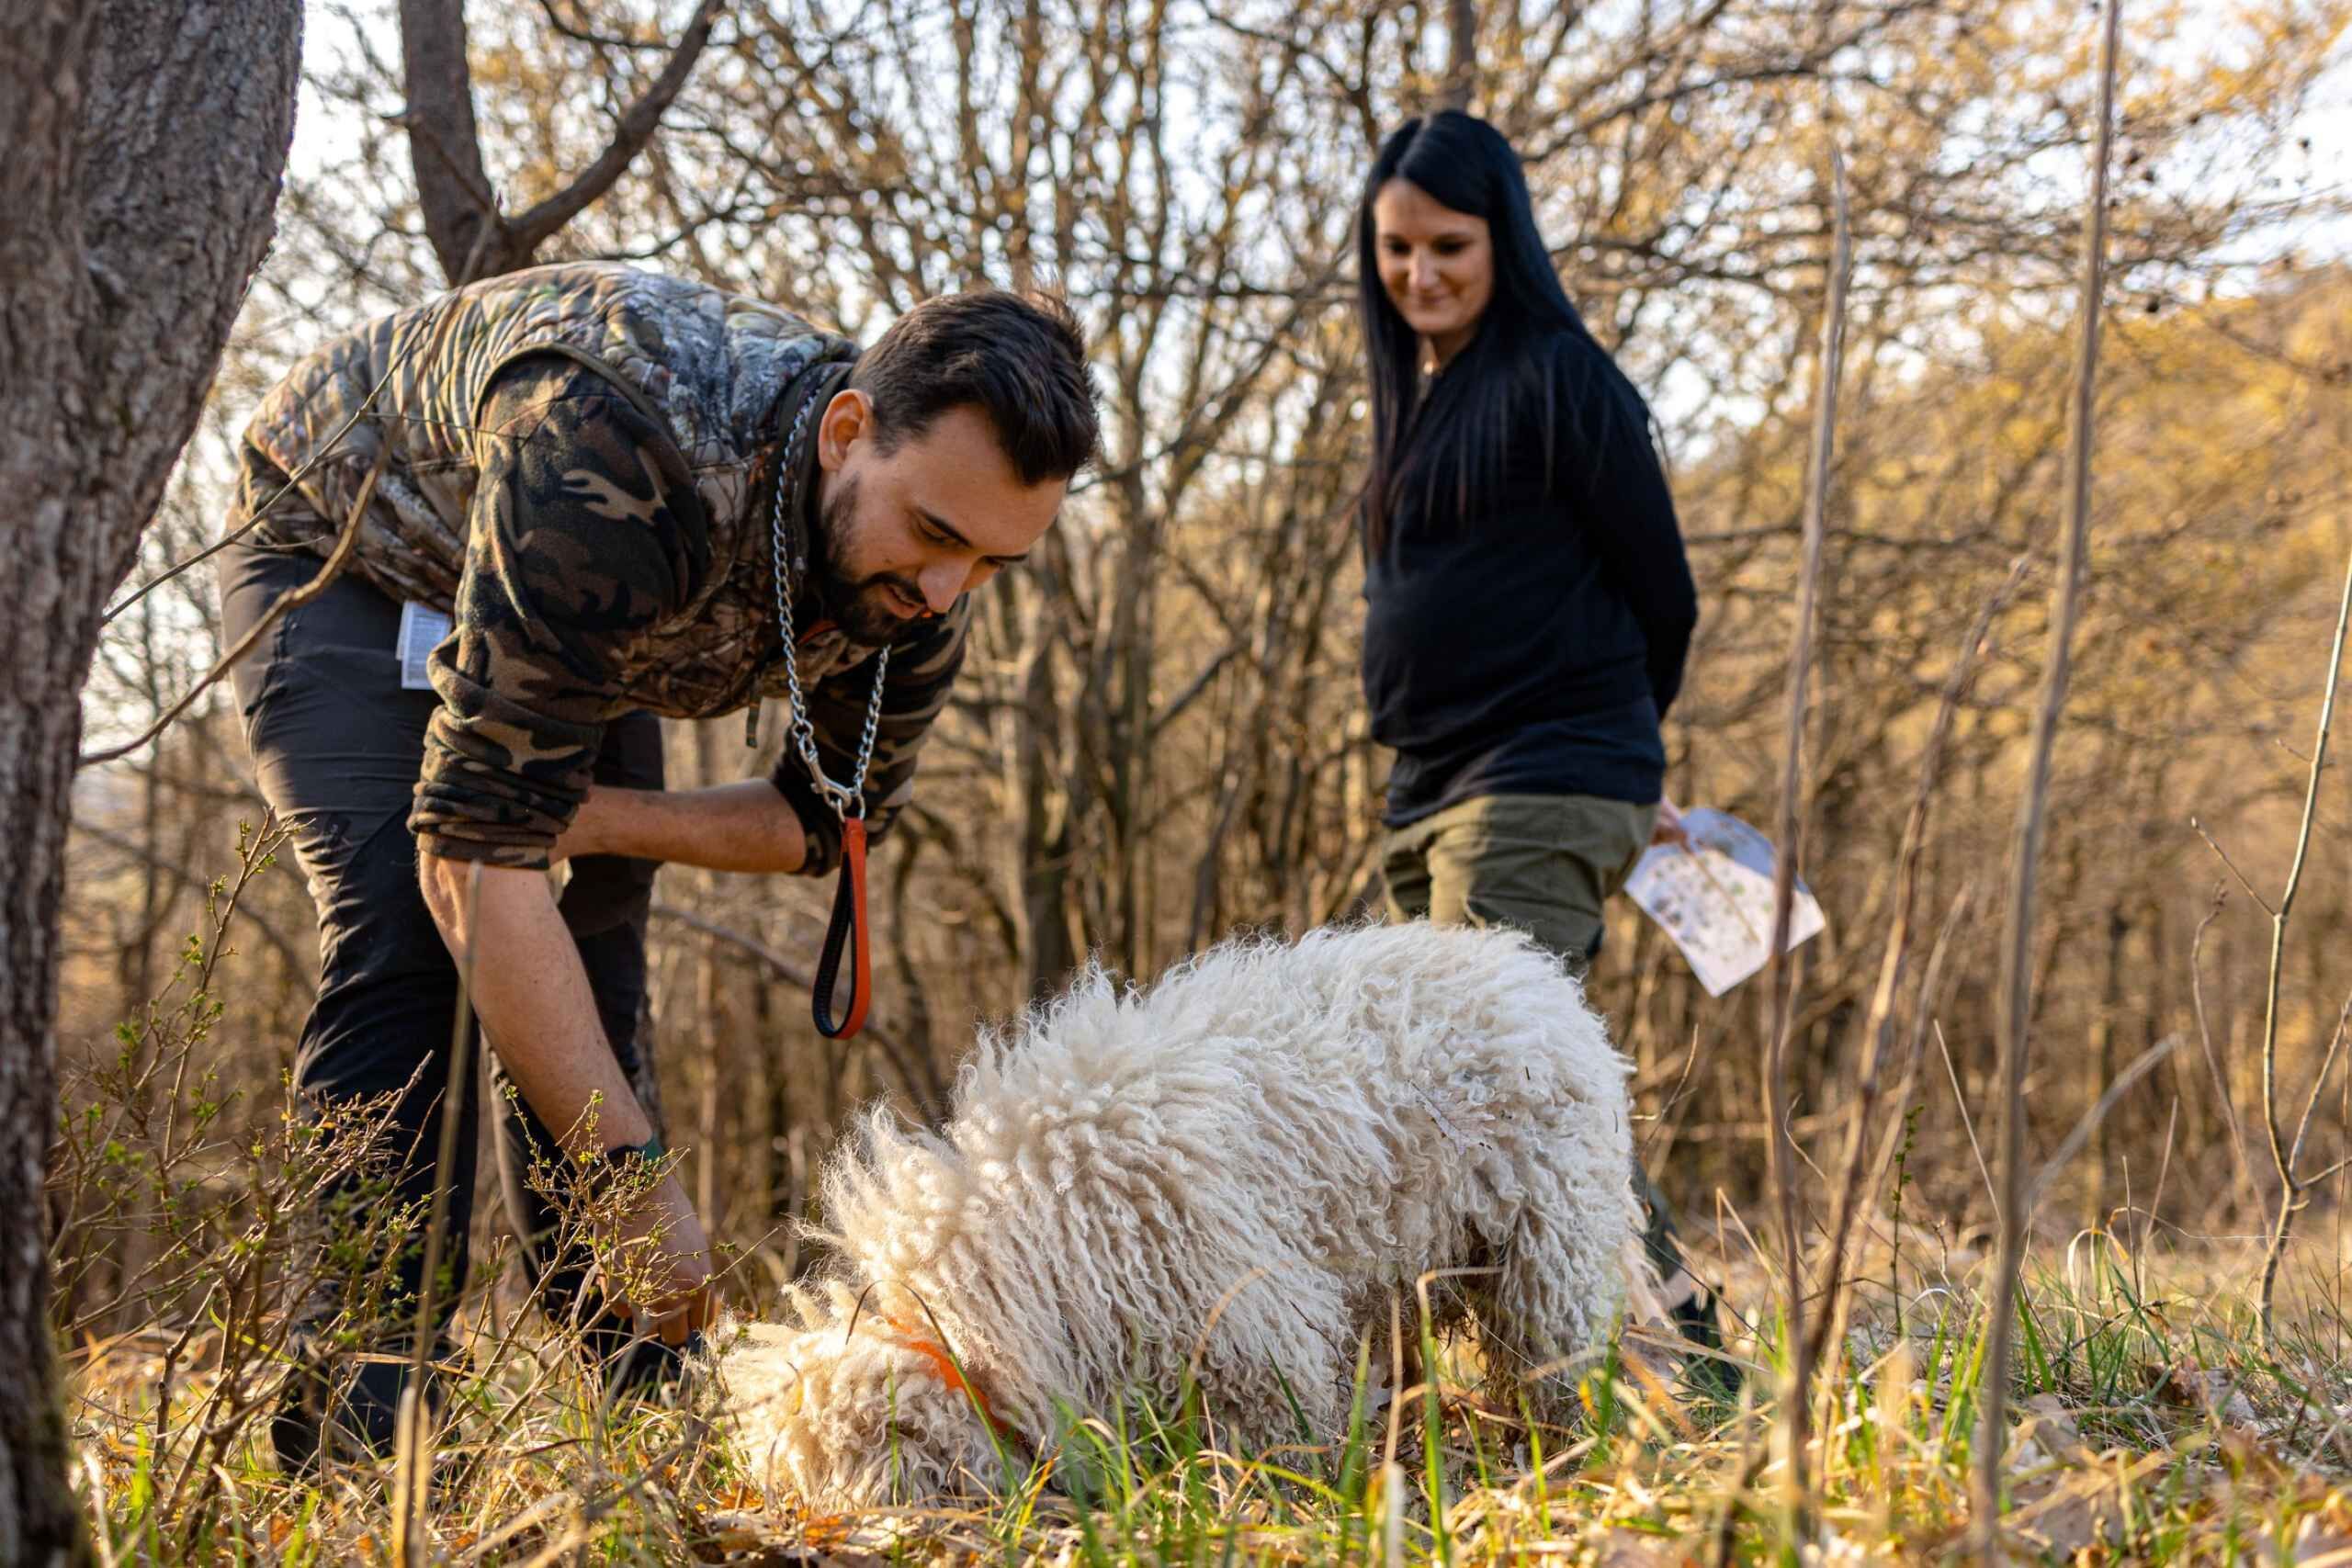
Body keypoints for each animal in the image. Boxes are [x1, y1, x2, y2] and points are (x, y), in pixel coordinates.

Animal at [724, 921, 1646, 1504]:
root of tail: (1537, 977)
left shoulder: (1250, 1331)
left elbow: (1272, 1444)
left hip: (1552, 1249)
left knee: (1573, 1361)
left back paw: (1580, 1452)